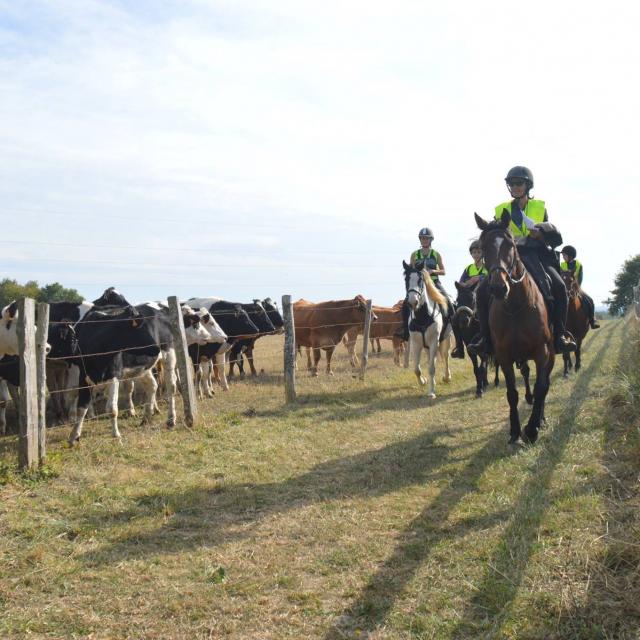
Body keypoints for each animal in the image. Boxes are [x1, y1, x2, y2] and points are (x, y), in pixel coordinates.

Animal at [402, 260, 452, 400]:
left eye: (420, 279)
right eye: (406, 279)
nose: (413, 301)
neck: (423, 317)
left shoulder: (435, 341)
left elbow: (431, 368)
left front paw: (431, 392)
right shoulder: (416, 344)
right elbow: (417, 369)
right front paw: (423, 381)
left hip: (445, 339)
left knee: (445, 356)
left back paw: (447, 377)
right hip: (427, 346)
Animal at [476, 212, 556, 442]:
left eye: (510, 244)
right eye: (483, 247)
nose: (498, 287)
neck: (515, 306)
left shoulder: (542, 351)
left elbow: (541, 387)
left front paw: (532, 429)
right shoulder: (504, 356)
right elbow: (512, 393)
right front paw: (514, 431)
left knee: (545, 384)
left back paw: (541, 419)